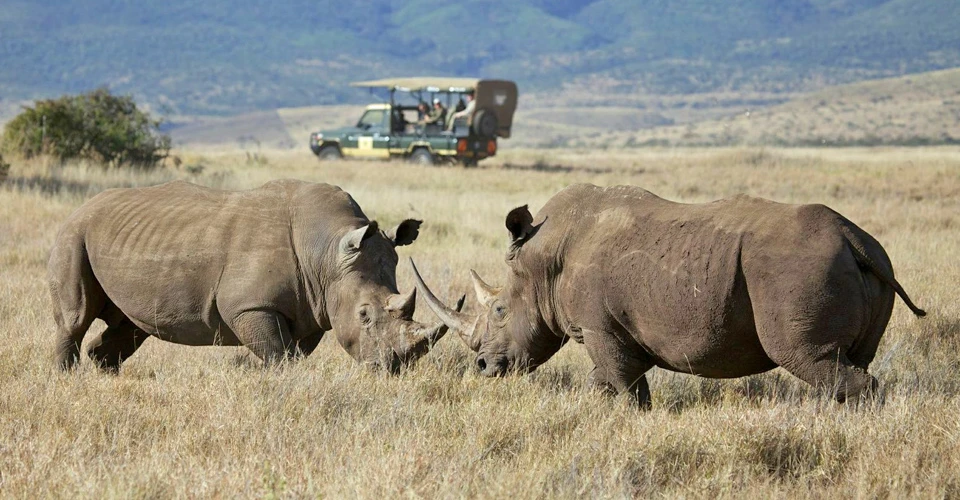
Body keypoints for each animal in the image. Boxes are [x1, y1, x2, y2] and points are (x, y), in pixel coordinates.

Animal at [49, 179, 458, 373]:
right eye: (364, 315)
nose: (393, 368)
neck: (328, 253)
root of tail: (79, 208)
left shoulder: (312, 308)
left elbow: (292, 354)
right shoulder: (251, 306)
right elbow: (278, 355)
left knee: (130, 326)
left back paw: (104, 373)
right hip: (73, 234)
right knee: (75, 318)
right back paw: (67, 380)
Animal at [414, 184, 926, 408]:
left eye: (500, 309)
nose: (483, 366)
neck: (542, 263)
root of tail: (854, 238)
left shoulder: (600, 328)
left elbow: (622, 387)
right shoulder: (618, 331)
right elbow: (613, 382)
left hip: (798, 268)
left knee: (805, 355)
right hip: (866, 263)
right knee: (846, 361)